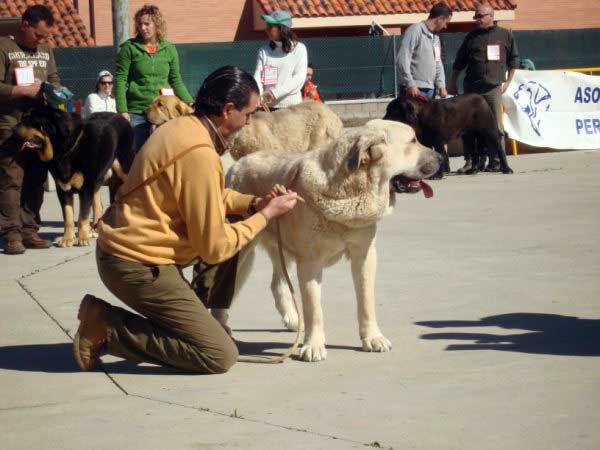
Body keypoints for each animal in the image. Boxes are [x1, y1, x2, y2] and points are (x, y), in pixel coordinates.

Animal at [16, 107, 134, 246]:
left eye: (29, 120)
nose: (14, 129)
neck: (65, 152)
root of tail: (120, 117)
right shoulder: (63, 189)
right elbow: (68, 217)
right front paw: (67, 239)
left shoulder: (86, 189)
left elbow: (82, 216)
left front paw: (82, 238)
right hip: (97, 180)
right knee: (98, 206)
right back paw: (95, 230)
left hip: (124, 169)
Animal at [225, 119, 440, 362]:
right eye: (413, 141)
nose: (441, 158)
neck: (349, 189)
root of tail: (238, 163)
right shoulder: (309, 262)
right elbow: (314, 308)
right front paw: (313, 345)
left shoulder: (364, 255)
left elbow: (366, 301)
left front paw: (372, 337)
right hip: (241, 254)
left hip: (282, 248)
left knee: (277, 283)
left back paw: (292, 319)